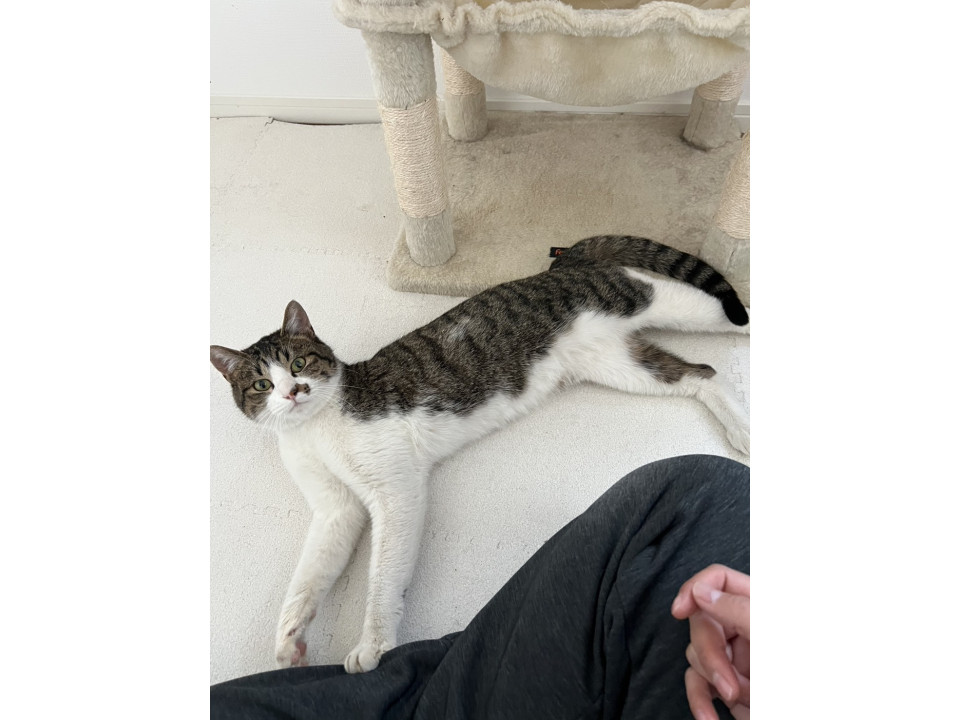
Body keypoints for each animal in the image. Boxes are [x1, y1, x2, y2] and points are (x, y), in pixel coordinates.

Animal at [210, 234, 750, 674]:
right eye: (261, 384)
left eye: (300, 362)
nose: (293, 391)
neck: (313, 429)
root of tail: (561, 265)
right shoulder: (335, 509)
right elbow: (308, 577)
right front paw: (290, 641)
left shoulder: (396, 490)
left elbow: (382, 576)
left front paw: (374, 645)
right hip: (616, 363)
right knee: (702, 375)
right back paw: (740, 427)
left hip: (650, 301)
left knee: (712, 310)